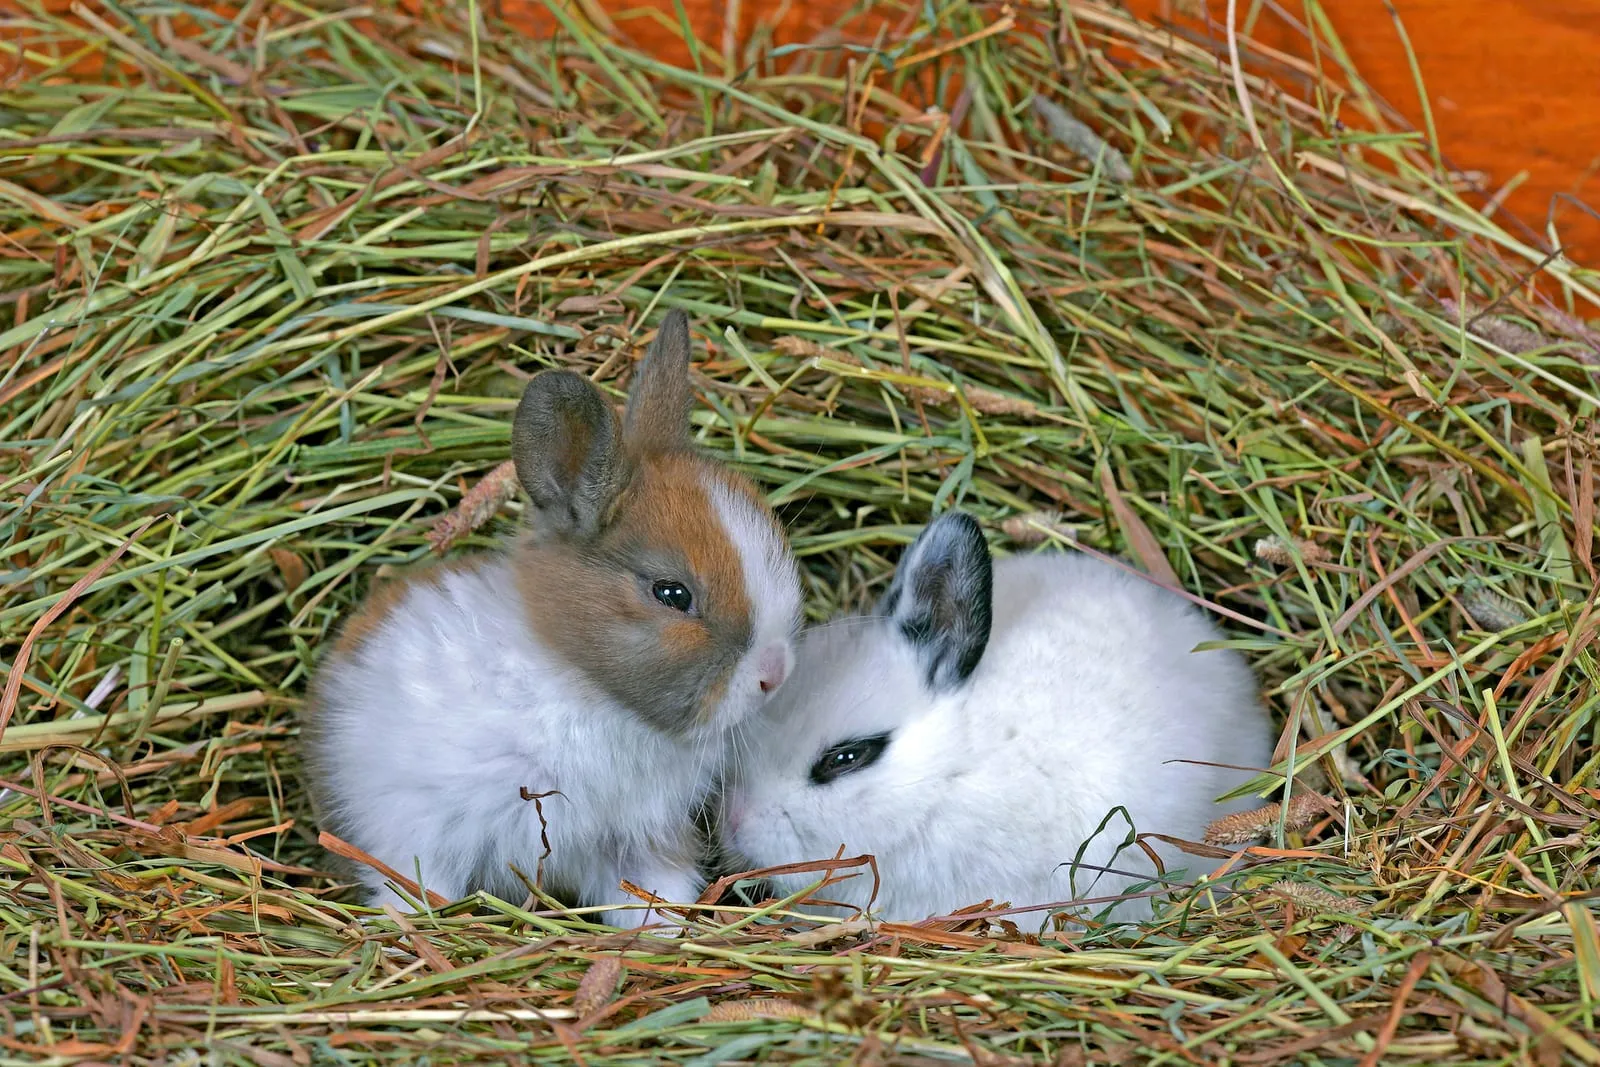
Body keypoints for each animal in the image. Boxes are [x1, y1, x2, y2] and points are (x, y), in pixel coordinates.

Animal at [303, 309, 802, 928]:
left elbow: (654, 893)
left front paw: (664, 933)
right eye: (672, 593)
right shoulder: (414, 824)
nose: (773, 674)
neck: (588, 692)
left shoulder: (638, 841)